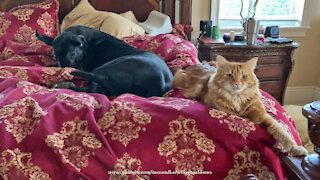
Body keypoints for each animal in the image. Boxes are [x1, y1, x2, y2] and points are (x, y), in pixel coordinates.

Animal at [174, 55, 308, 155]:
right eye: (230, 75)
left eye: (244, 76)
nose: (237, 84)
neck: (237, 98)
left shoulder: (263, 116)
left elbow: (282, 133)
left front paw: (295, 149)